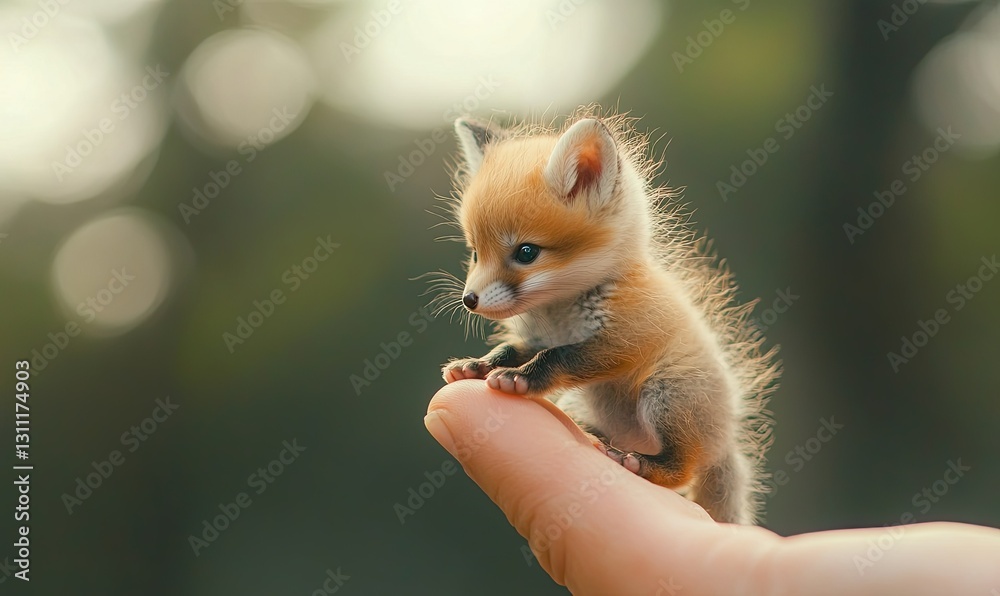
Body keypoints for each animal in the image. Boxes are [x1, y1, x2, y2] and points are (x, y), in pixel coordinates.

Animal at [432, 107, 780, 525]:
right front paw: (477, 365)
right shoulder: (537, 336)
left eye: (527, 252)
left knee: (682, 469)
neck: (560, 312)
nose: (470, 300)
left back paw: (641, 464)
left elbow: (559, 357)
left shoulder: (623, 340)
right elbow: (510, 350)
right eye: (475, 253)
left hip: (667, 394)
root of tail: (726, 439)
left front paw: (521, 378)